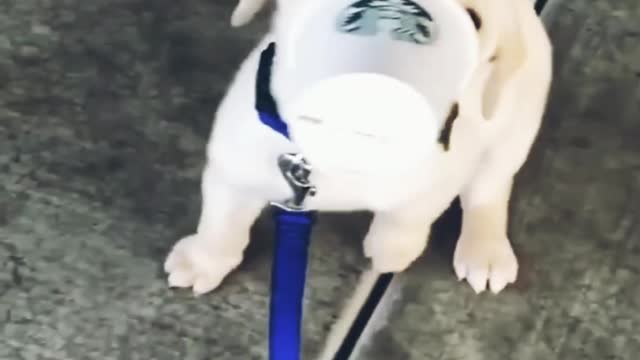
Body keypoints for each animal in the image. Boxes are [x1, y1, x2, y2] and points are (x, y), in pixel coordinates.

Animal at [166, 0, 556, 296]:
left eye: (474, 21)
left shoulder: (440, 176)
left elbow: (407, 220)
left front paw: (389, 250)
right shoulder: (233, 169)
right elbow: (220, 226)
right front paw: (203, 261)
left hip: (515, 129)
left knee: (488, 190)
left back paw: (484, 248)